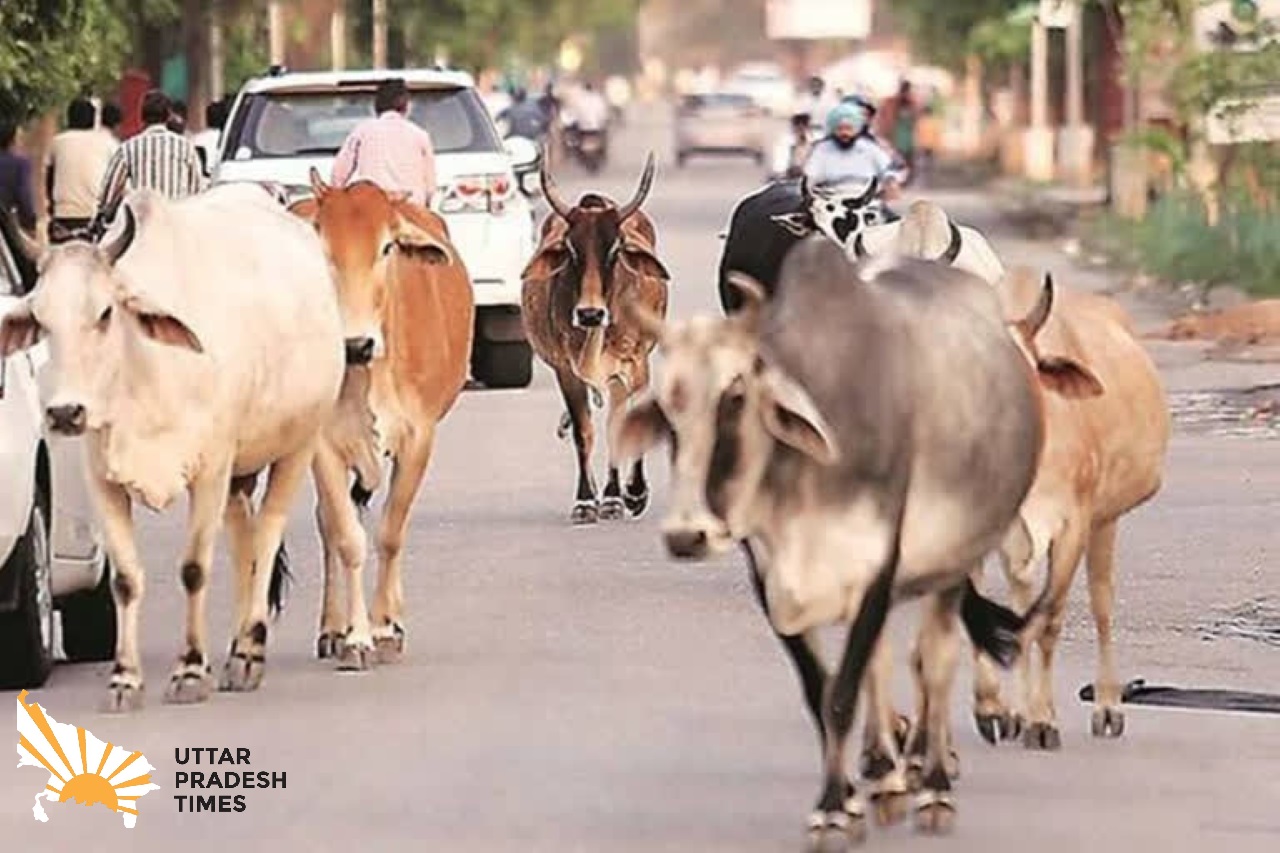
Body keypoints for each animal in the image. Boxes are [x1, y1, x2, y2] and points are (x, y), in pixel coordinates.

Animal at [0, 185, 345, 712]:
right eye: (40, 318)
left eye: (105, 313)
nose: (64, 413)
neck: (145, 372)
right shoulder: (102, 479)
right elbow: (124, 579)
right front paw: (124, 679)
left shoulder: (211, 470)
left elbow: (194, 569)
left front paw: (189, 671)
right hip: (240, 473)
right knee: (244, 539)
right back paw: (235, 648)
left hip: (299, 443)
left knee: (266, 535)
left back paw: (249, 651)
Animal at [290, 169, 476, 666]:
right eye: (322, 246)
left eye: (387, 247)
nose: (356, 344)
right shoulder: (323, 445)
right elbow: (347, 537)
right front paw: (355, 636)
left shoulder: (419, 439)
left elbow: (391, 533)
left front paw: (384, 627)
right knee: (327, 524)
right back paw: (332, 628)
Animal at [522, 154, 675, 525]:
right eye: (570, 249)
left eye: (615, 250)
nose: (590, 314)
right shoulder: (566, 370)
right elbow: (583, 432)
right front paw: (586, 500)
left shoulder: (633, 365)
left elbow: (621, 426)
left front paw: (627, 495)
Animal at [616, 235, 1100, 840]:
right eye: (666, 410)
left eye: (736, 395)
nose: (687, 535)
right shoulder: (771, 574)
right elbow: (823, 688)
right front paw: (845, 797)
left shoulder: (878, 564)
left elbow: (846, 693)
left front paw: (834, 807)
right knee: (885, 663)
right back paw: (887, 774)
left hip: (954, 559)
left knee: (936, 660)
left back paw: (932, 785)